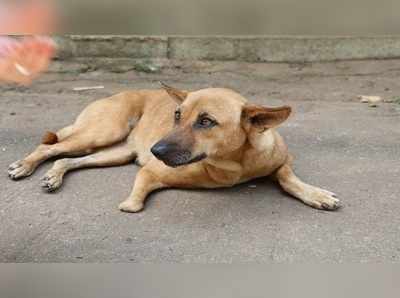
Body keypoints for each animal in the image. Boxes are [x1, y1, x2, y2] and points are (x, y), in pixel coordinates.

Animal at [7, 83, 340, 212]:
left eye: (206, 121)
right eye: (177, 115)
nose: (155, 150)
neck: (236, 160)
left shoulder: (282, 161)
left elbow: (287, 177)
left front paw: (315, 194)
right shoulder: (153, 171)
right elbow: (139, 191)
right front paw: (132, 202)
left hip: (116, 152)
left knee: (67, 160)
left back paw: (54, 175)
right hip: (101, 132)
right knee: (50, 148)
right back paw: (25, 165)